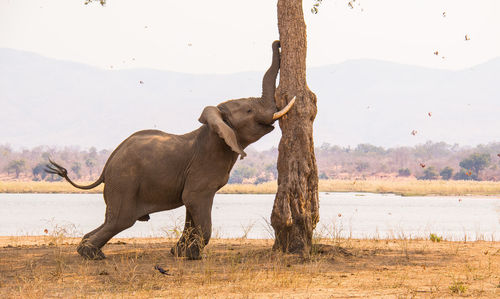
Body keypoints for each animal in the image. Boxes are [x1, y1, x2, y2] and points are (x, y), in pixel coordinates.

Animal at [45, 41, 294, 262]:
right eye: (250, 110)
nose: (278, 42)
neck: (213, 125)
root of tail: (106, 167)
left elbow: (190, 211)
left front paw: (179, 253)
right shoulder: (205, 168)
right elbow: (196, 205)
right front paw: (192, 256)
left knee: (111, 221)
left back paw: (87, 249)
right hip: (124, 182)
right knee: (120, 220)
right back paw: (92, 255)